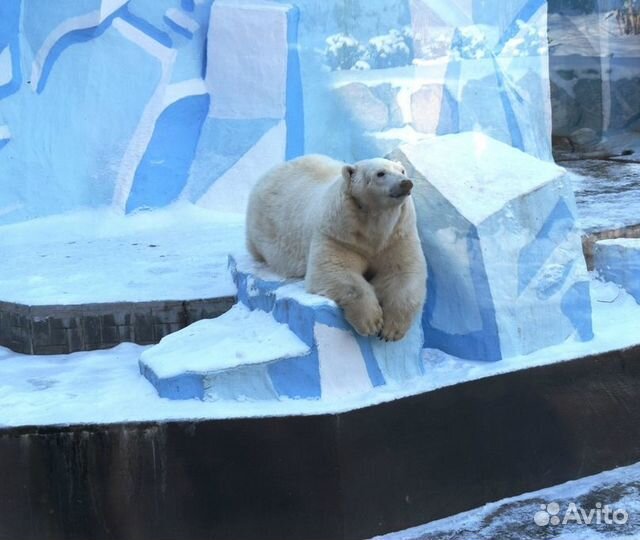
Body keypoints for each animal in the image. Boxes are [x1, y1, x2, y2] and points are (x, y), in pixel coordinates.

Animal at [248, 155, 428, 342]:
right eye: (380, 173)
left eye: (402, 171)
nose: (406, 183)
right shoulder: (338, 235)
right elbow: (335, 271)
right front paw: (371, 322)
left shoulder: (397, 236)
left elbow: (402, 272)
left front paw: (391, 330)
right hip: (261, 228)